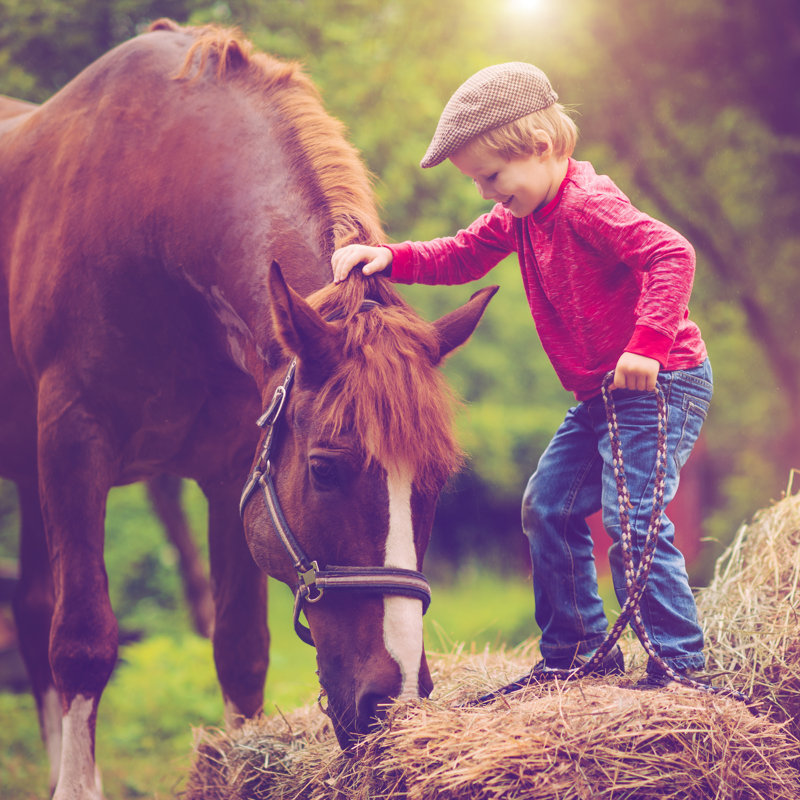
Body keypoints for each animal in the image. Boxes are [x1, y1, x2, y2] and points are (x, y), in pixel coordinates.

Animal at [0, 18, 496, 799]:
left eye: (439, 481)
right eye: (325, 470)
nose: (389, 702)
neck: (151, 207)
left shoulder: (234, 466)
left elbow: (239, 648)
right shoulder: (73, 442)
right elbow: (81, 640)